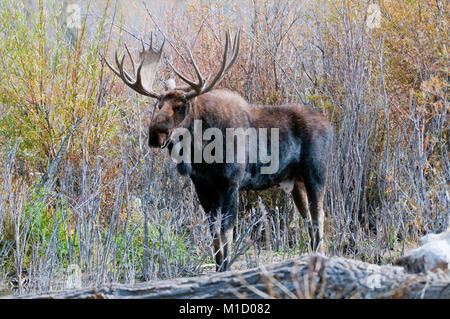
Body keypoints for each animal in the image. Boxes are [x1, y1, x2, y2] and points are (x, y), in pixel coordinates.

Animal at [103, 30, 332, 272]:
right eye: (158, 105)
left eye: (181, 106)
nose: (156, 134)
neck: (202, 153)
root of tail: (329, 124)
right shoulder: (202, 187)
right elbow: (213, 234)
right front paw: (218, 267)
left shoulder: (231, 184)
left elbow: (226, 232)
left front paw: (226, 268)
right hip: (296, 182)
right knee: (308, 220)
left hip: (316, 173)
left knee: (319, 217)